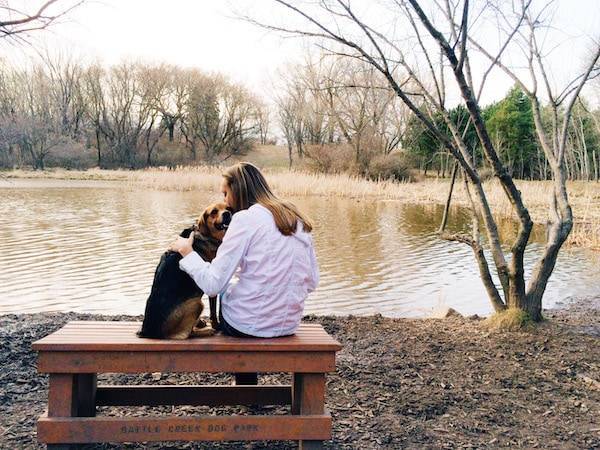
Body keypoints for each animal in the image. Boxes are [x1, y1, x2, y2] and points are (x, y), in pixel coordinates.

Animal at [138, 202, 232, 340]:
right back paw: (206, 331)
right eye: (214, 211)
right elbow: (213, 311)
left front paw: (200, 322)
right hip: (197, 303)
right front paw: (216, 326)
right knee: (186, 334)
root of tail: (148, 332)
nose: (227, 214)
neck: (207, 235)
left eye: (228, 208)